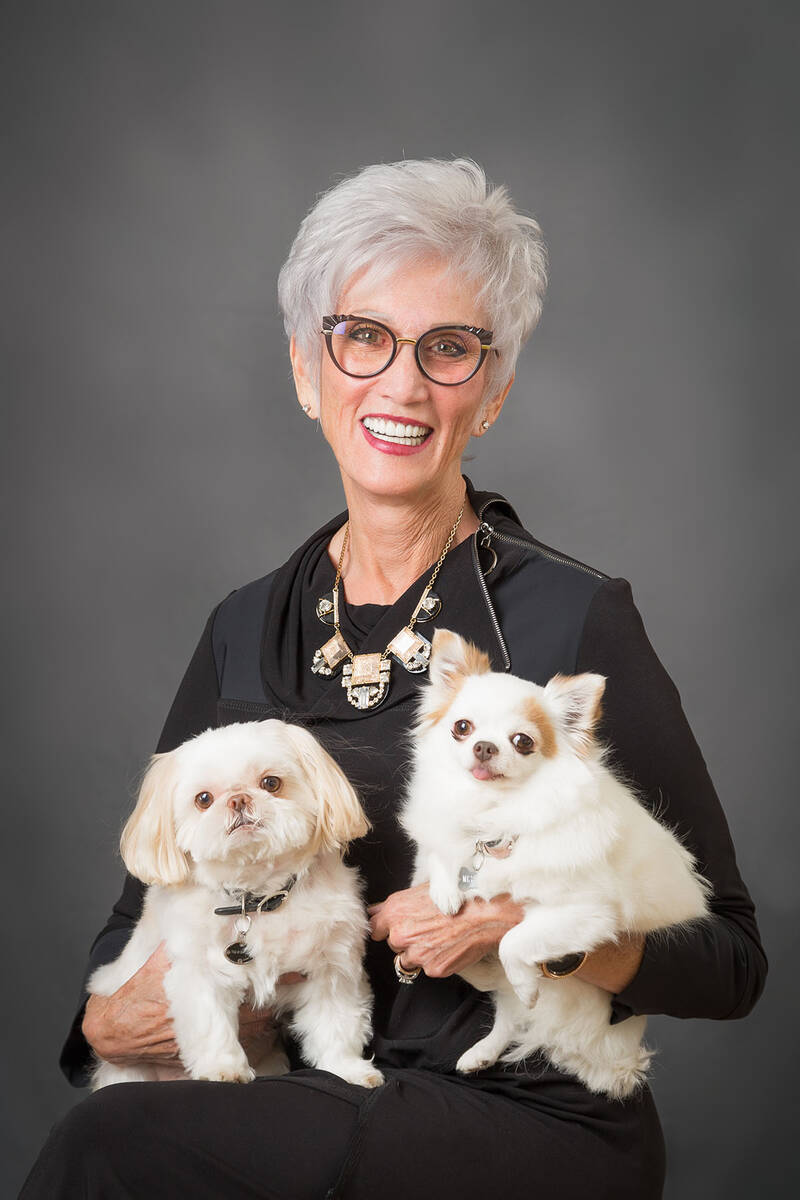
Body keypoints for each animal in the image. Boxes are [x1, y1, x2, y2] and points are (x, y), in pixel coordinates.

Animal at [89, 715, 383, 1094]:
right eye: (203, 799)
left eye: (271, 783)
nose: (239, 800)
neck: (257, 898)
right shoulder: (198, 970)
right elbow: (211, 1023)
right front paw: (223, 1068)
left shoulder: (332, 968)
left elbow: (337, 1025)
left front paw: (346, 1069)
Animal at [402, 633, 710, 1099]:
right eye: (462, 728)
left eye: (522, 741)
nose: (484, 747)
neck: (496, 815)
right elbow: (438, 851)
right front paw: (444, 888)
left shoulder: (586, 914)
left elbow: (514, 941)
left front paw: (526, 980)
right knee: (505, 1010)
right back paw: (482, 1054)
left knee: (514, 1001)